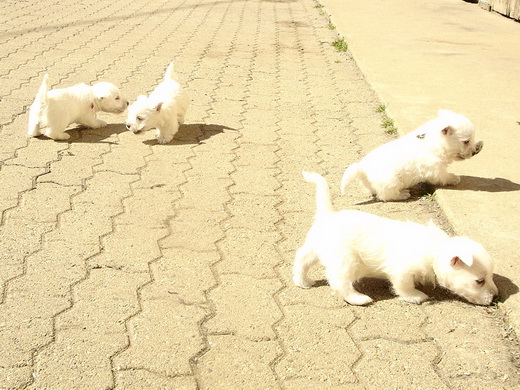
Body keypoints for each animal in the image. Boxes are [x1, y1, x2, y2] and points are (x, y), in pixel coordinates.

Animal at [294, 172, 498, 306]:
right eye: (479, 281)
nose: (496, 297)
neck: (434, 250)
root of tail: (329, 215)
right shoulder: (401, 271)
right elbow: (404, 286)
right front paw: (416, 296)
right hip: (346, 260)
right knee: (339, 282)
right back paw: (358, 298)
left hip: (314, 248)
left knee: (301, 259)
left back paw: (302, 281)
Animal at [342, 109, 484, 201]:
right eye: (466, 141)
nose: (474, 152)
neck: (434, 140)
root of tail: (361, 167)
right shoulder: (435, 169)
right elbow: (443, 176)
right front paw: (453, 178)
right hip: (391, 181)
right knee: (385, 195)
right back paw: (403, 194)